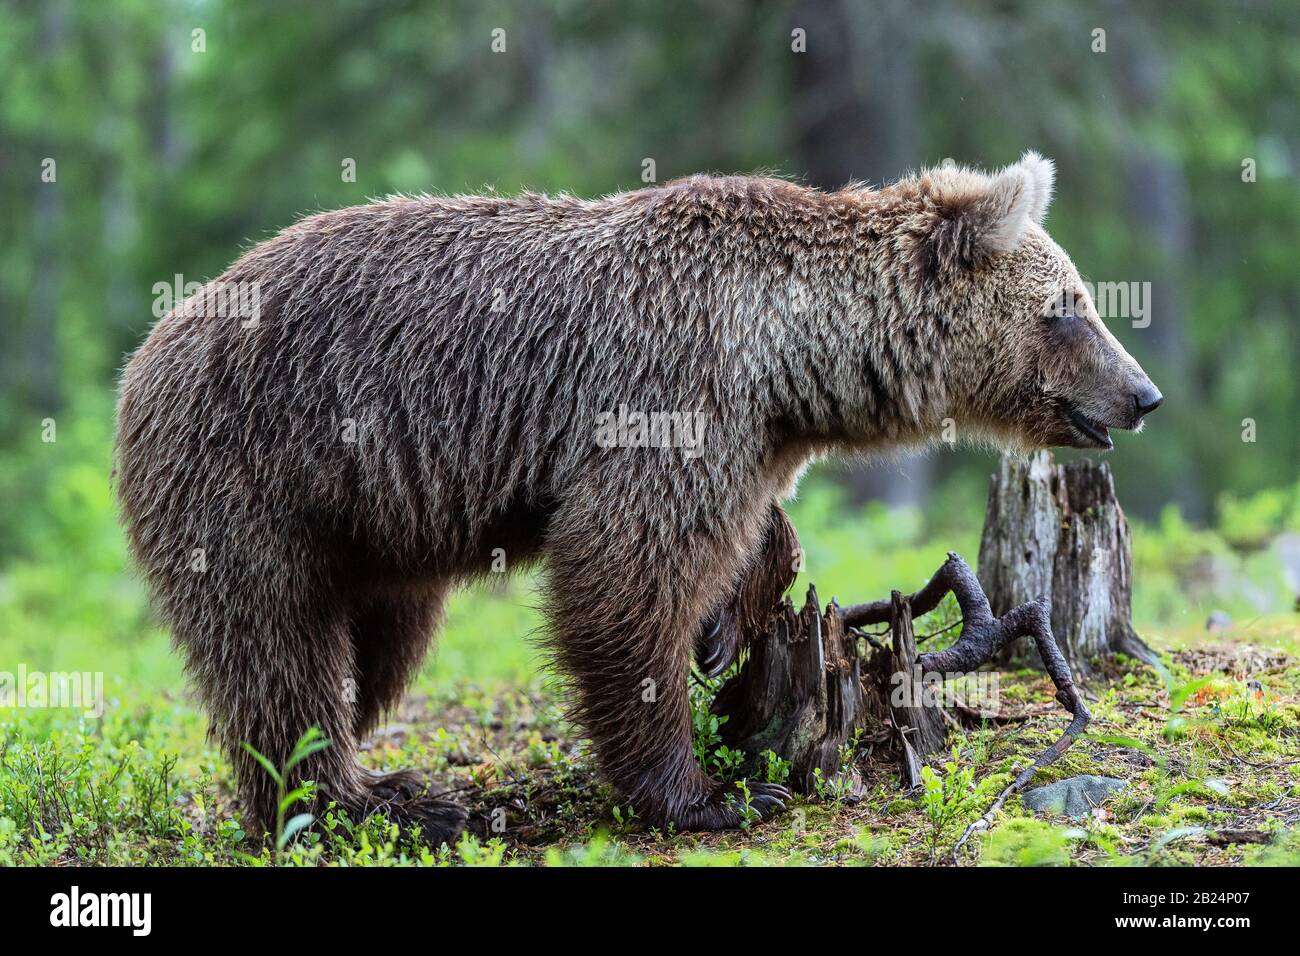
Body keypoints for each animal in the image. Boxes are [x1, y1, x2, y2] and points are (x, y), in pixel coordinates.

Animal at [116, 151, 1164, 842]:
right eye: (1069, 307)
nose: (1141, 394)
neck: (789, 362)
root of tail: (155, 342)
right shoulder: (671, 395)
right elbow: (624, 575)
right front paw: (714, 792)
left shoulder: (751, 439)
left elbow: (734, 548)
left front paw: (728, 628)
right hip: (257, 468)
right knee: (279, 645)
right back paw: (365, 803)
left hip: (374, 524)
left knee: (375, 652)